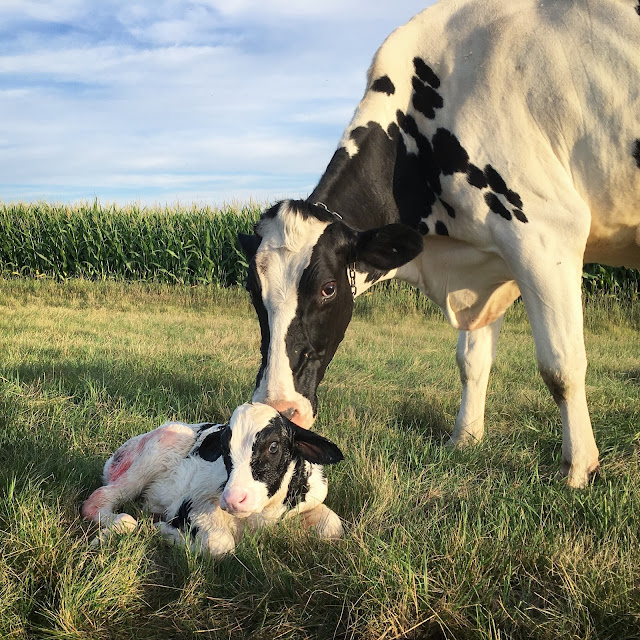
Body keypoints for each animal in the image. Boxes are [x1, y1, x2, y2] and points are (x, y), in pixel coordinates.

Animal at [85, 404, 348, 556]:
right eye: (223, 448)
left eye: (274, 446)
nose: (233, 499)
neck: (261, 515)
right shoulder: (193, 502)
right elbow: (219, 544)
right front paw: (163, 531)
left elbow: (333, 526)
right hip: (154, 452)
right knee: (98, 499)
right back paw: (121, 523)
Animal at [239, 0, 640, 488]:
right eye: (253, 291)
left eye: (329, 288)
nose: (278, 406)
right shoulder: (490, 261)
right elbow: (472, 361)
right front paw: (464, 440)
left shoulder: (547, 234)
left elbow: (561, 365)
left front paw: (578, 467)